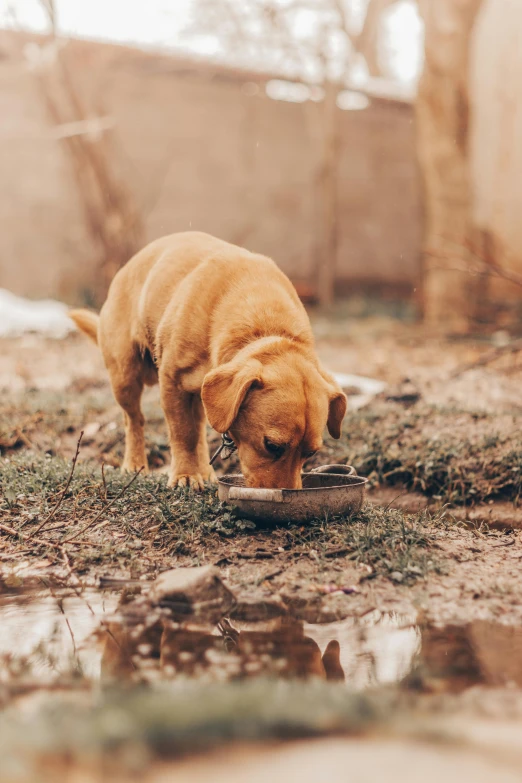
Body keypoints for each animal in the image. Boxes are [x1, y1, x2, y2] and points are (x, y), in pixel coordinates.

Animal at [69, 233, 346, 490]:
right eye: (272, 445)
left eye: (311, 453)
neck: (265, 324)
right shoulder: (172, 382)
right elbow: (183, 434)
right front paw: (185, 475)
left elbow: (194, 434)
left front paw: (195, 472)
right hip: (125, 377)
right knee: (134, 420)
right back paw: (136, 464)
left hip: (201, 392)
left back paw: (204, 471)